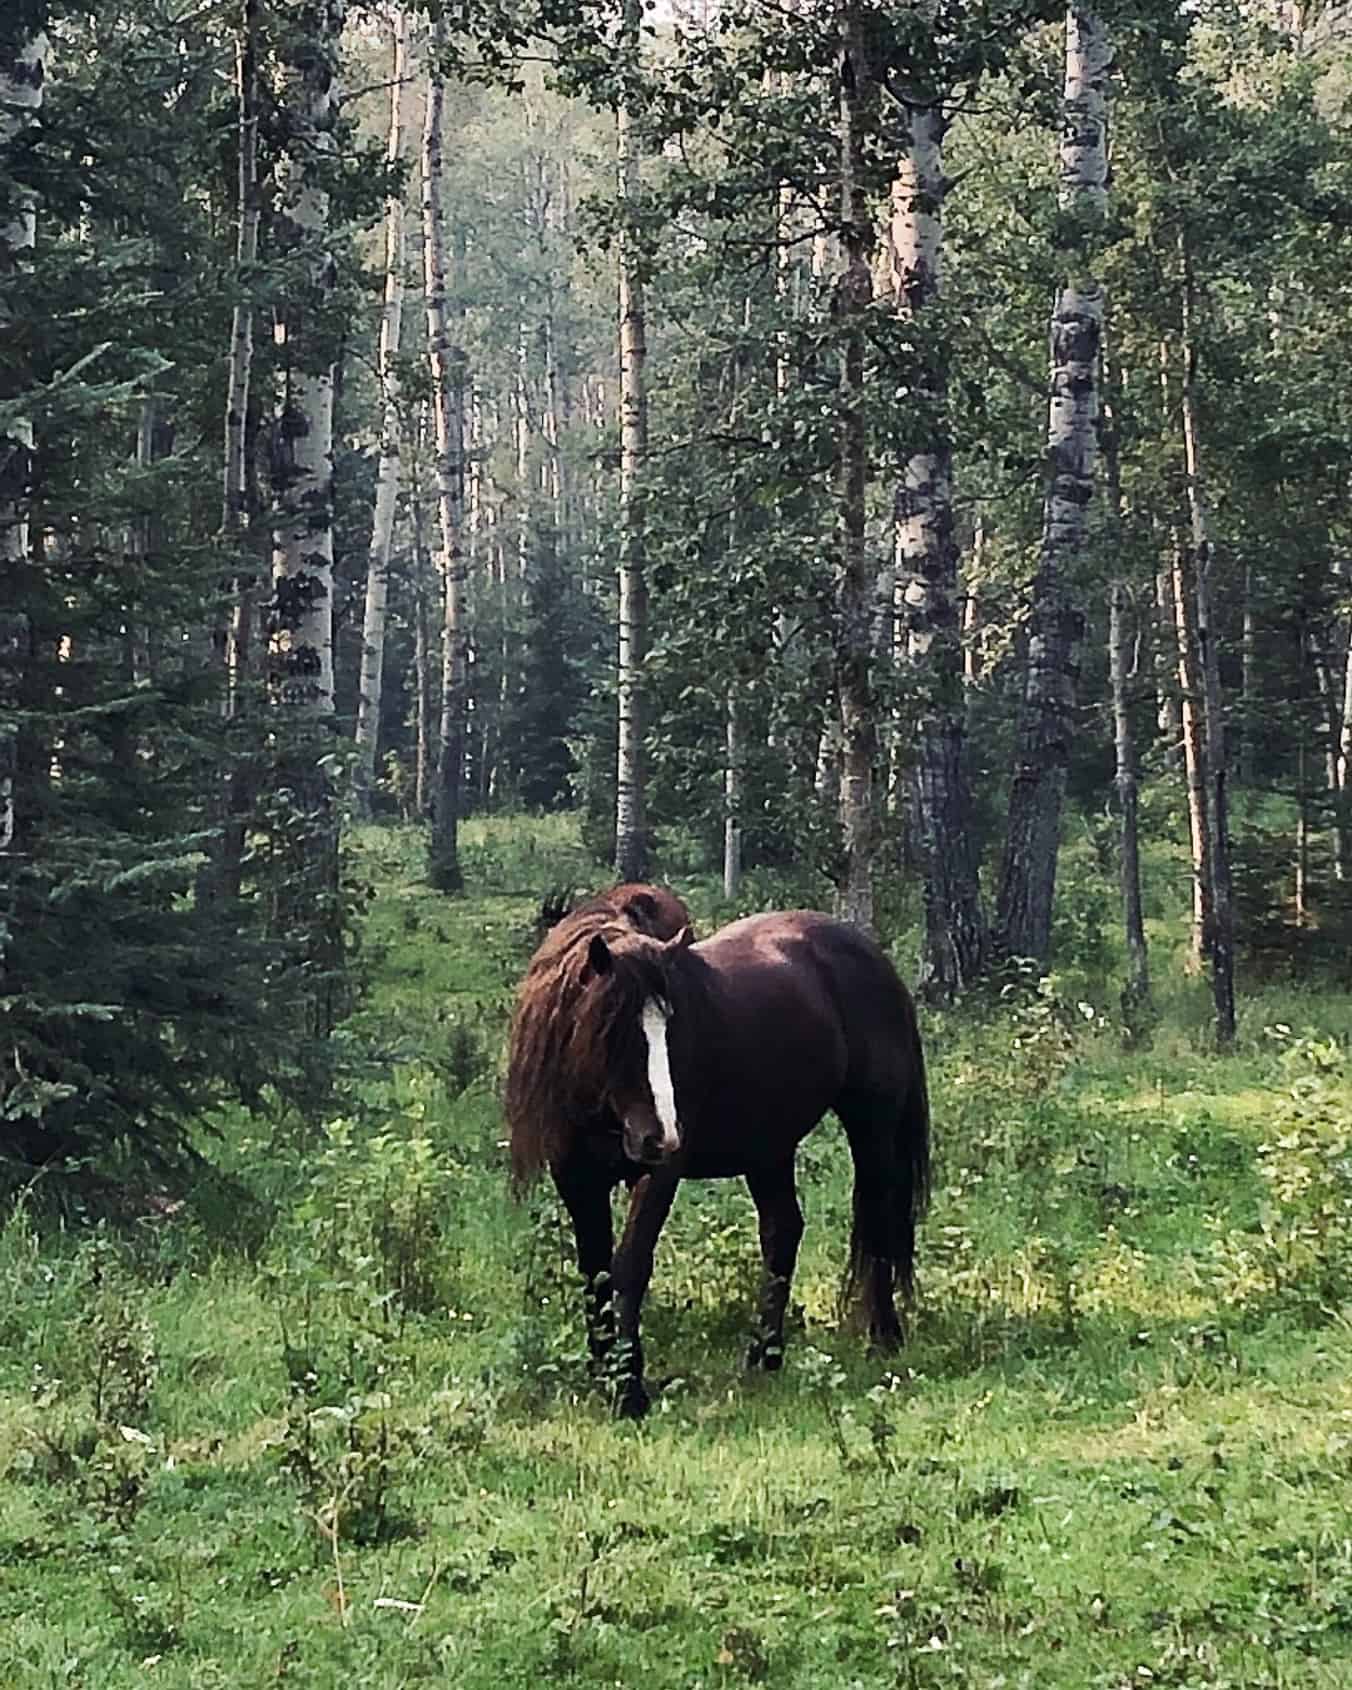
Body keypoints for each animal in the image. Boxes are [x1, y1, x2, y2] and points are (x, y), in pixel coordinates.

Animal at [503, 912, 932, 1412]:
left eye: (669, 1027)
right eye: (612, 1030)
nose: (662, 1135)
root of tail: (873, 958)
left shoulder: (657, 1175)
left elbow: (630, 1266)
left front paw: (629, 1390)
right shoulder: (577, 1182)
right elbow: (595, 1273)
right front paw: (603, 1373)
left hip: (871, 1126)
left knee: (878, 1219)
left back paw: (883, 1338)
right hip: (768, 1149)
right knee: (783, 1230)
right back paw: (764, 1356)